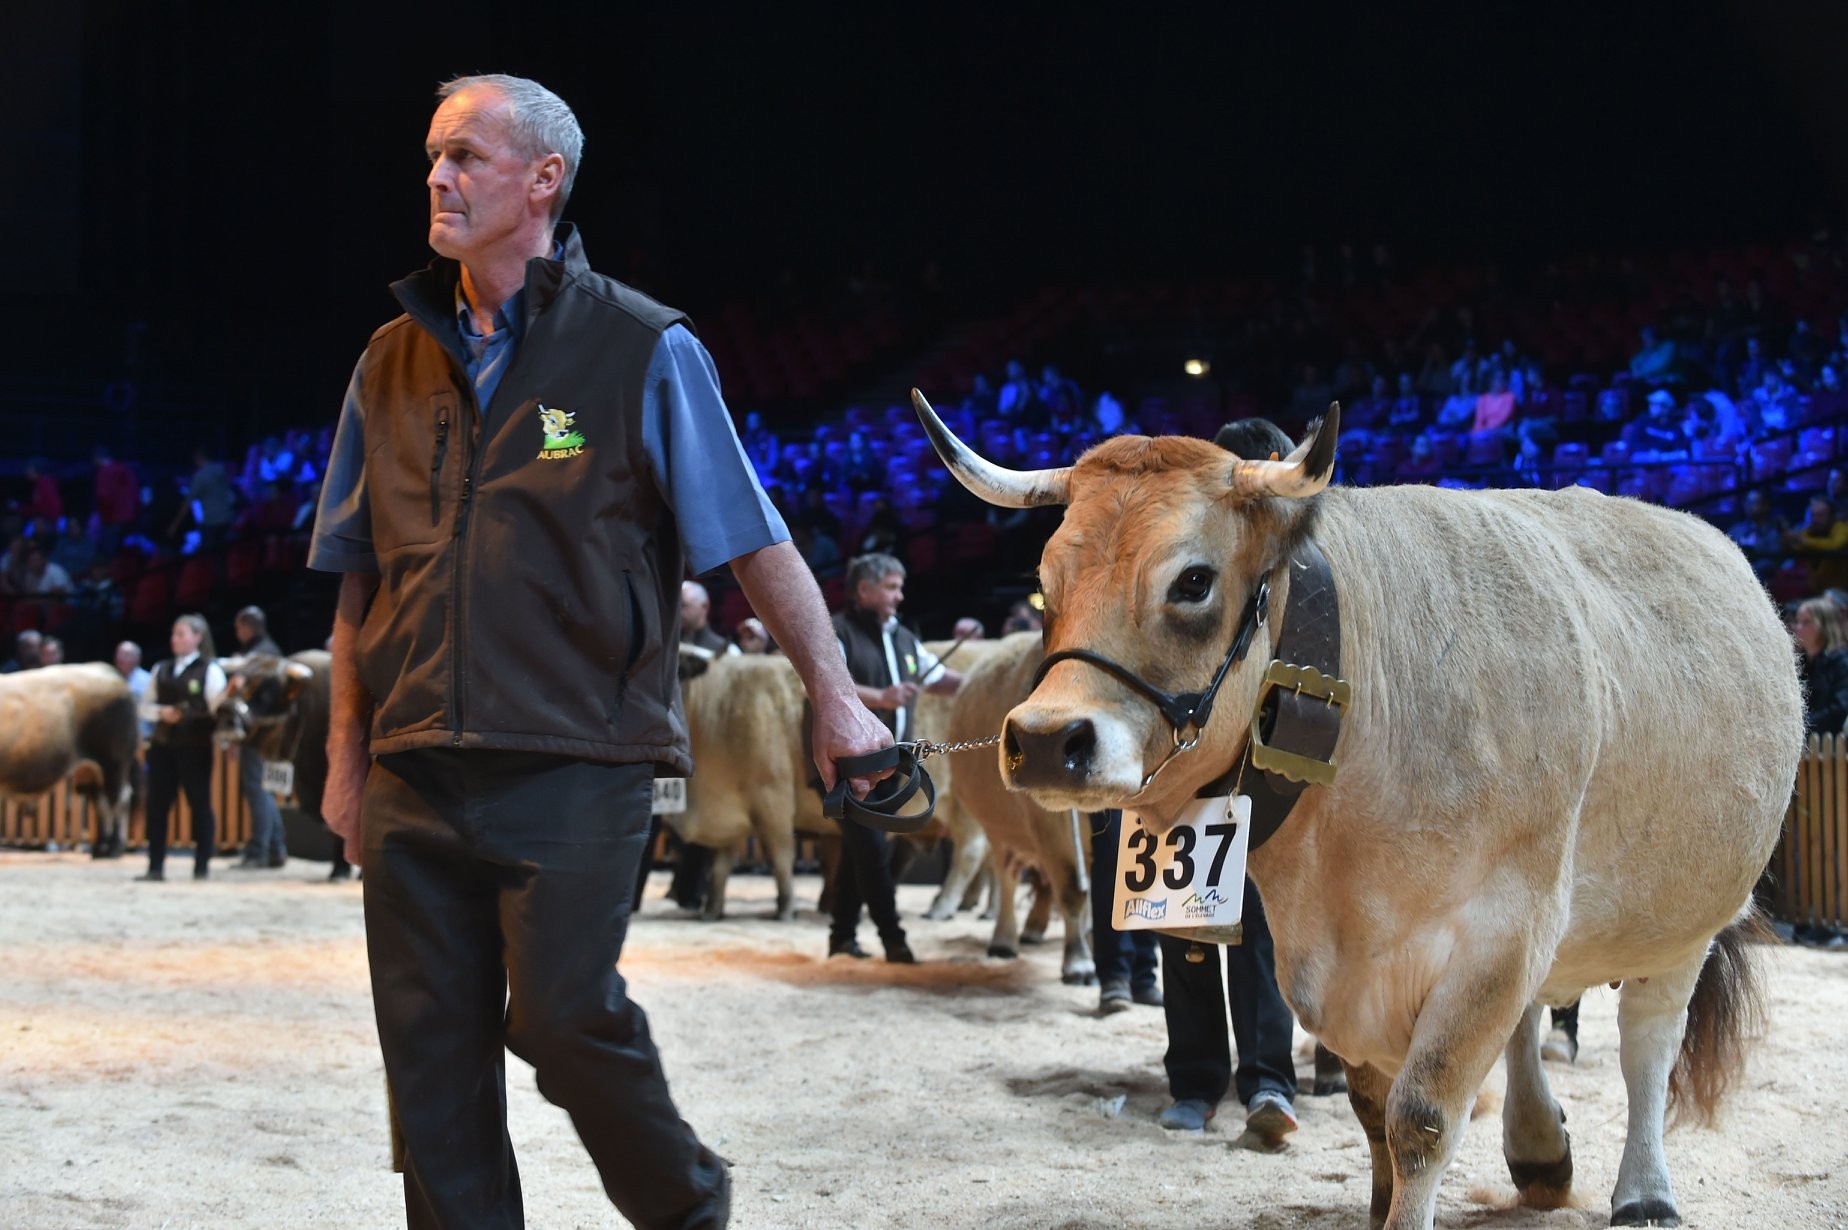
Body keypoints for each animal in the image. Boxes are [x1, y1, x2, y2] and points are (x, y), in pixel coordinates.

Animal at [0, 664, 140, 856]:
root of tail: (103, 668)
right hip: (92, 770)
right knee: (100, 801)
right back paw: (100, 846)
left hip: (114, 763)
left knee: (118, 800)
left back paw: (113, 847)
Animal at [916, 393, 1796, 1226]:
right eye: (1046, 584)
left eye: (1193, 581)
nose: (1044, 739)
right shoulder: (1350, 960)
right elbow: (1374, 1101)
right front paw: (1379, 1200)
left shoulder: (1503, 929)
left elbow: (1422, 1115)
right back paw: (1540, 1152)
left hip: (1681, 916)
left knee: (1648, 1042)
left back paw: (1644, 1191)